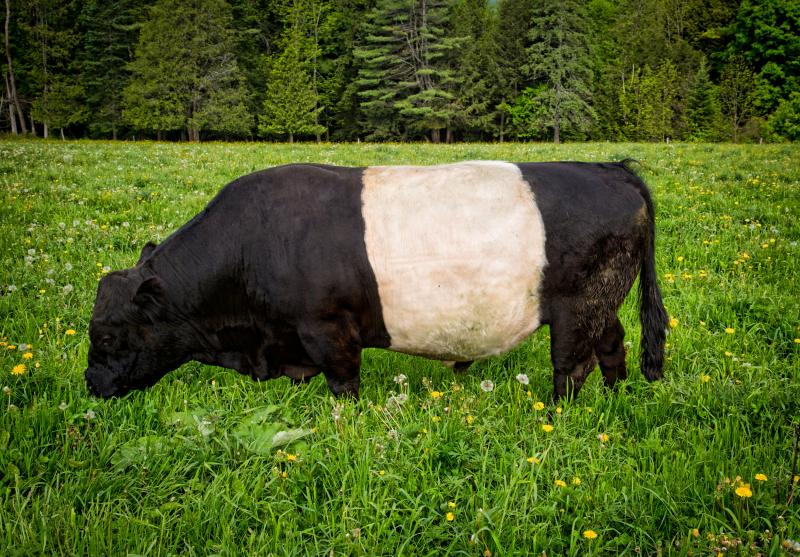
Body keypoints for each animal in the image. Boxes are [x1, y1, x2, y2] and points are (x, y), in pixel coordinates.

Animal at [84, 160, 668, 400]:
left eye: (107, 336)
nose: (92, 384)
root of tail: (609, 167)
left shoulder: (327, 328)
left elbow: (344, 384)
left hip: (577, 306)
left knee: (573, 366)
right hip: (603, 302)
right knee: (613, 345)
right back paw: (616, 400)